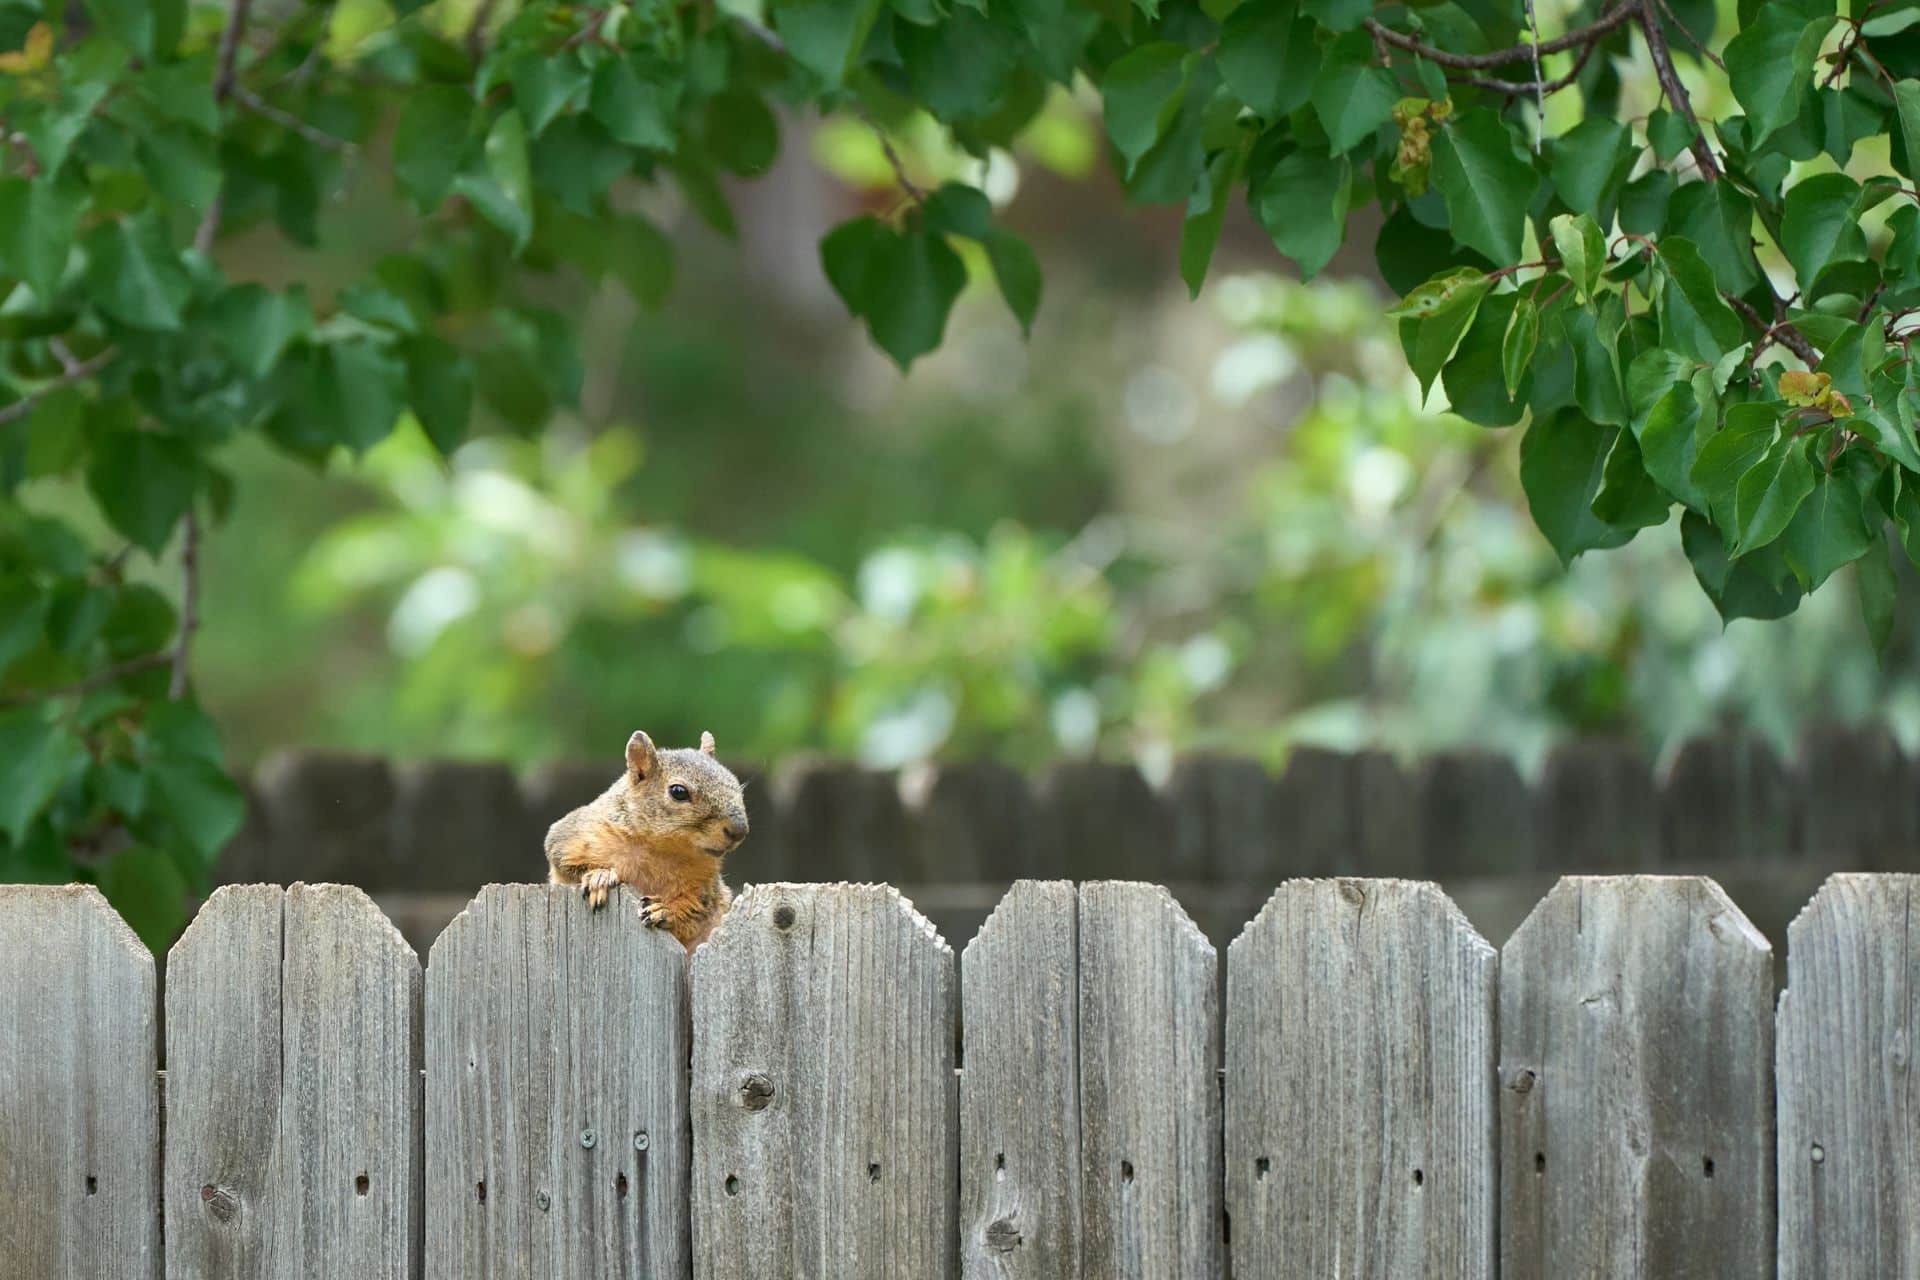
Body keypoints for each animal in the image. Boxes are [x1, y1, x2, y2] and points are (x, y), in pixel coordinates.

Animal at [544, 729, 749, 951]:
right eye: (679, 792)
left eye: (735, 783)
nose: (739, 831)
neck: (659, 850)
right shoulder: (569, 836)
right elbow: (563, 861)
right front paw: (600, 877)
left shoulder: (706, 884)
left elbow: (696, 909)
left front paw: (665, 910)